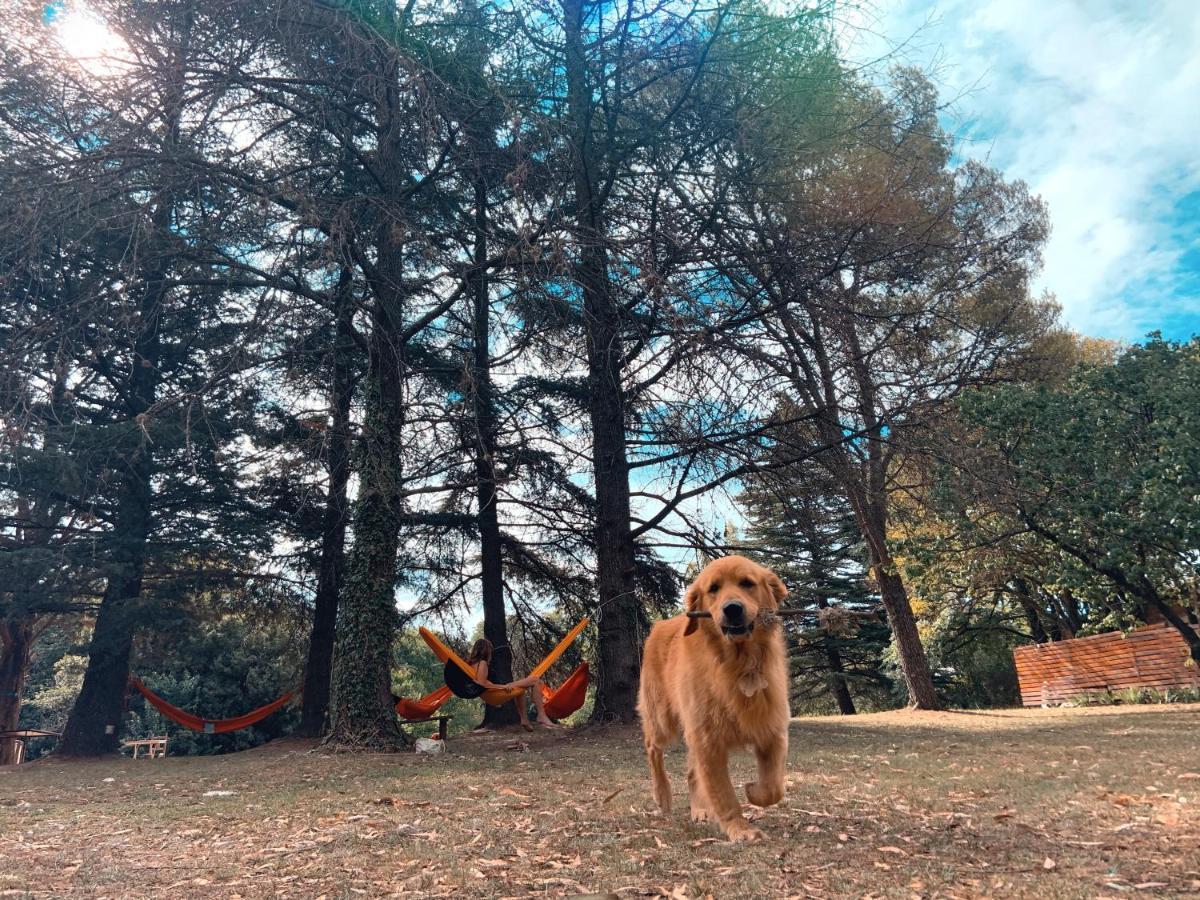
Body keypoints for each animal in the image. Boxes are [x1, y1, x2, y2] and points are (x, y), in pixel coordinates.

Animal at [633, 556, 792, 844]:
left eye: (747, 583)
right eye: (713, 589)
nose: (732, 609)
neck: (738, 664)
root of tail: (660, 625)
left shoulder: (772, 729)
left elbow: (774, 787)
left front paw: (753, 791)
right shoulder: (708, 740)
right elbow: (724, 794)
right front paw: (739, 829)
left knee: (691, 773)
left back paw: (699, 810)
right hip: (662, 719)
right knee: (652, 748)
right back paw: (662, 794)